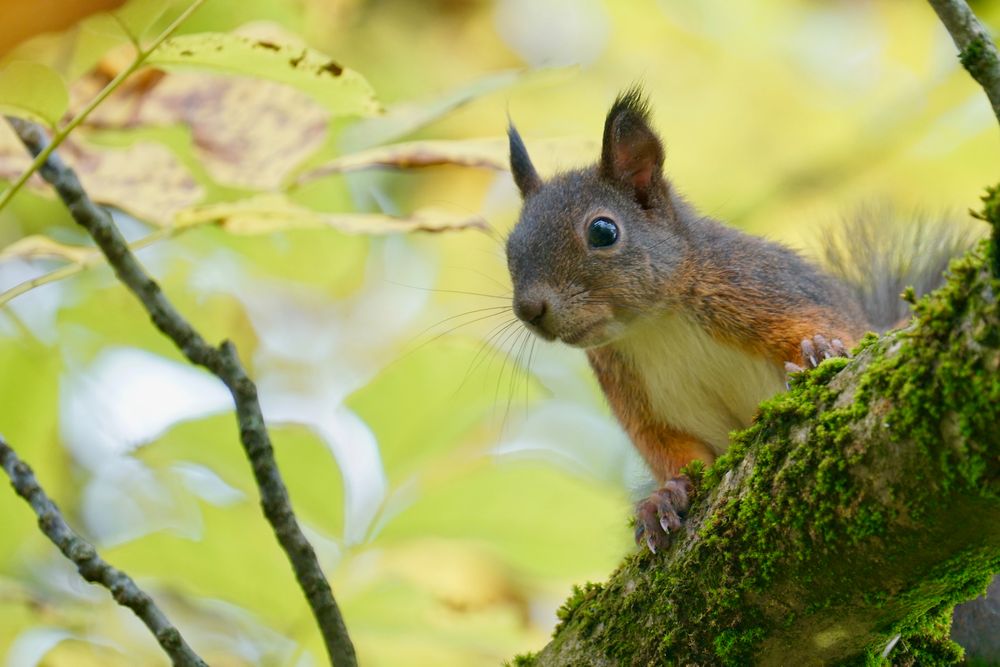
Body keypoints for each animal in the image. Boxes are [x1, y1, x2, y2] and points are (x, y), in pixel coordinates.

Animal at [504, 87, 972, 552]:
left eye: (603, 231)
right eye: (509, 250)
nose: (530, 310)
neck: (655, 326)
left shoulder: (765, 288)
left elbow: (847, 337)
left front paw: (822, 350)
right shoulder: (641, 400)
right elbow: (674, 452)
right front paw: (663, 498)